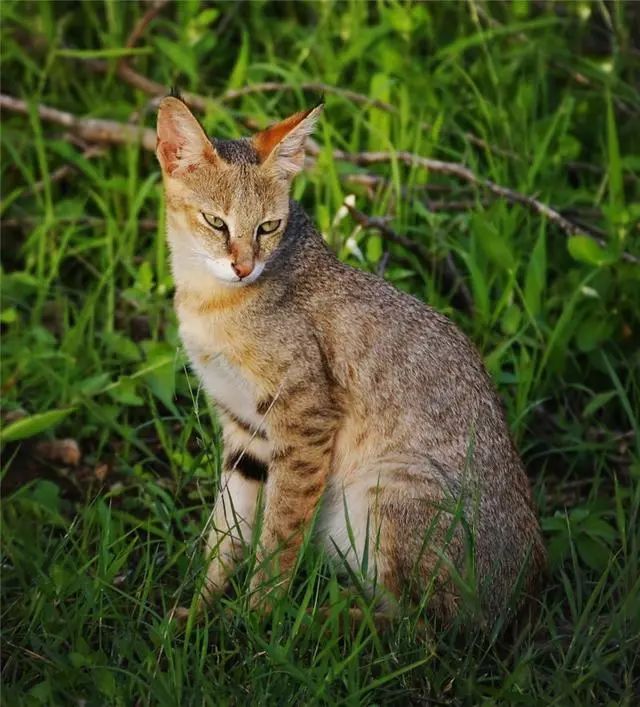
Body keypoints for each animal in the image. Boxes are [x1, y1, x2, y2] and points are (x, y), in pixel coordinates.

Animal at [155, 95, 544, 624]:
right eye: (216, 222)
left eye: (268, 227)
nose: (244, 266)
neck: (209, 301)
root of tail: (526, 594)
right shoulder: (244, 427)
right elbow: (225, 532)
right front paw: (198, 613)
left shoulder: (304, 418)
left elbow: (278, 535)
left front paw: (256, 619)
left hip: (389, 487)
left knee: (421, 626)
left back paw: (321, 623)